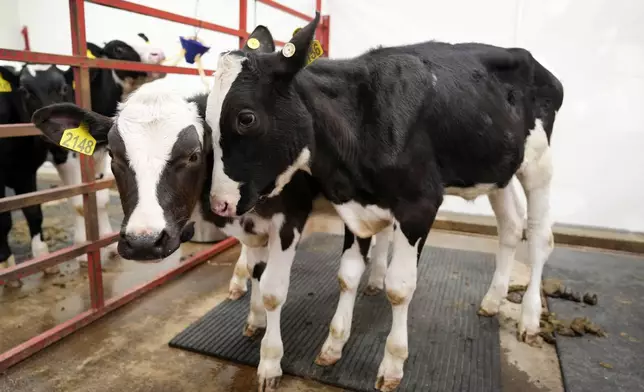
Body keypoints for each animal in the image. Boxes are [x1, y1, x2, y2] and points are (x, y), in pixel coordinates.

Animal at [206, 13, 564, 392]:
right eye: (207, 118)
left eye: (246, 117)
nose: (218, 203)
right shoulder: (353, 205)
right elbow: (347, 275)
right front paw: (334, 345)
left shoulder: (420, 205)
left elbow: (399, 288)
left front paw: (392, 365)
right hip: (500, 170)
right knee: (510, 227)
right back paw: (493, 301)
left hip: (538, 164)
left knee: (539, 237)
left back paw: (529, 319)